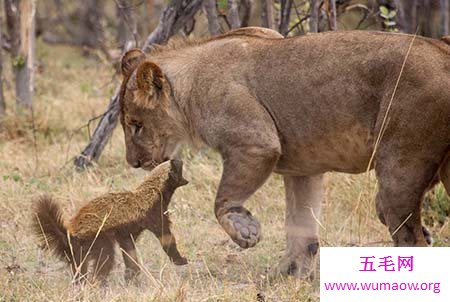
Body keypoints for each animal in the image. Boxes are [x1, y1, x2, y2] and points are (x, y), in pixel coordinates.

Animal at [117, 28, 450, 278]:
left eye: (136, 125)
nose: (133, 163)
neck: (189, 89)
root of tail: (442, 51)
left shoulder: (256, 143)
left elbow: (222, 201)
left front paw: (245, 231)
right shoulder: (303, 167)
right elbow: (301, 226)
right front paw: (288, 274)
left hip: (401, 163)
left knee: (408, 236)